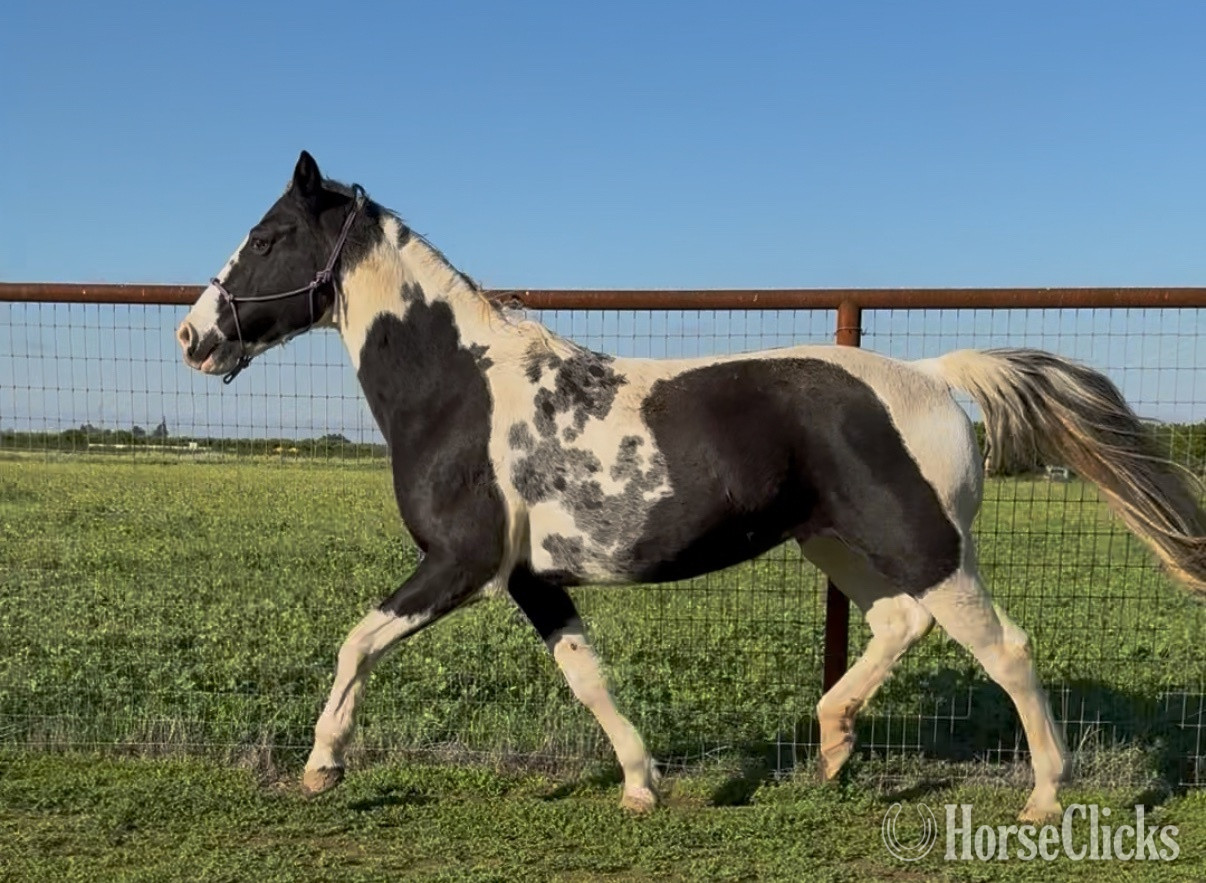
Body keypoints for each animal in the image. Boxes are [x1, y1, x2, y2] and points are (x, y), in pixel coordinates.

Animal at [177, 151, 1206, 821]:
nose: (194, 336)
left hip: (925, 545)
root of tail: (935, 377)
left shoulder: (462, 563)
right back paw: (831, 746)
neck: (461, 388)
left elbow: (356, 639)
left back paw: (1043, 798)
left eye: (268, 236)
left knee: (1009, 649)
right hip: (842, 542)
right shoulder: (531, 577)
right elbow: (586, 675)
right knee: (898, 623)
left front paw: (322, 766)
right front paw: (642, 782)